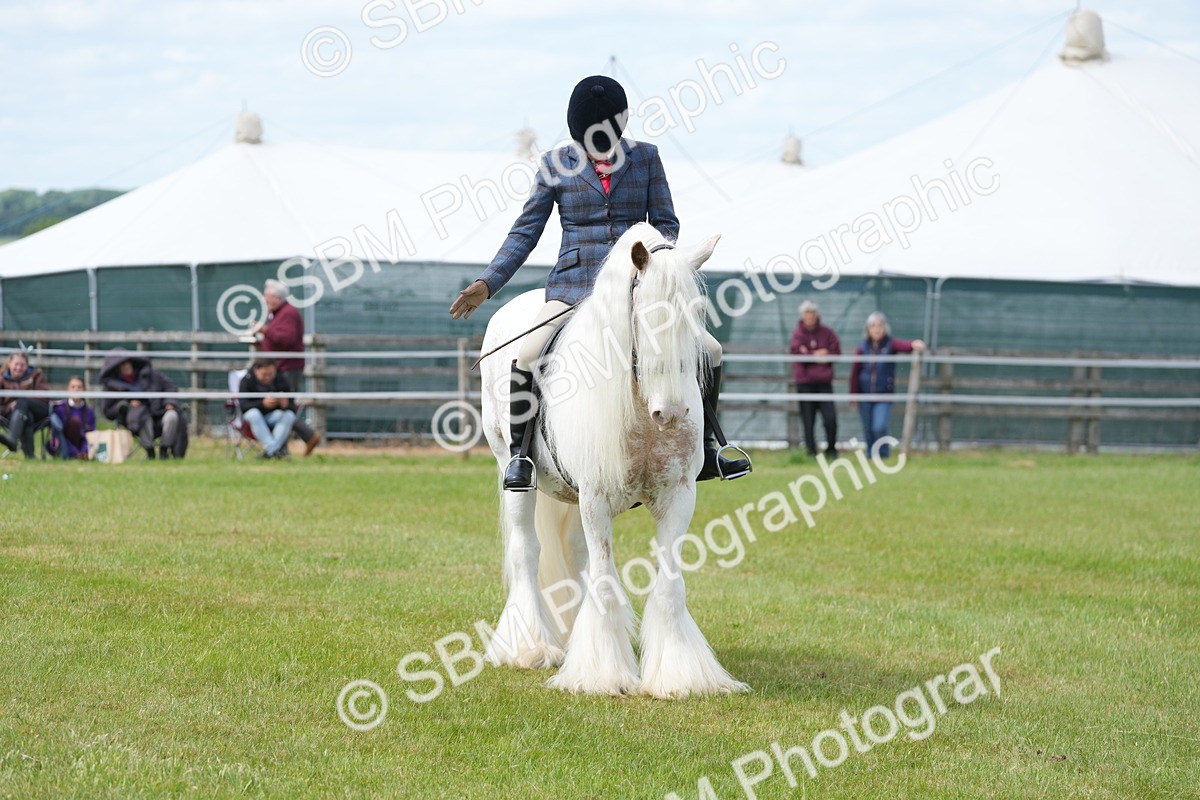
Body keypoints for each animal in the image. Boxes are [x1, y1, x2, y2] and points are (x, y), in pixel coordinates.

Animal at [478, 222, 750, 698]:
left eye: (697, 315)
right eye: (642, 315)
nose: (671, 413)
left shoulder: (678, 496)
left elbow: (669, 584)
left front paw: (681, 674)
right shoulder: (597, 497)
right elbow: (604, 580)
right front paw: (602, 675)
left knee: (572, 554)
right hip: (513, 473)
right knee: (527, 551)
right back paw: (530, 647)